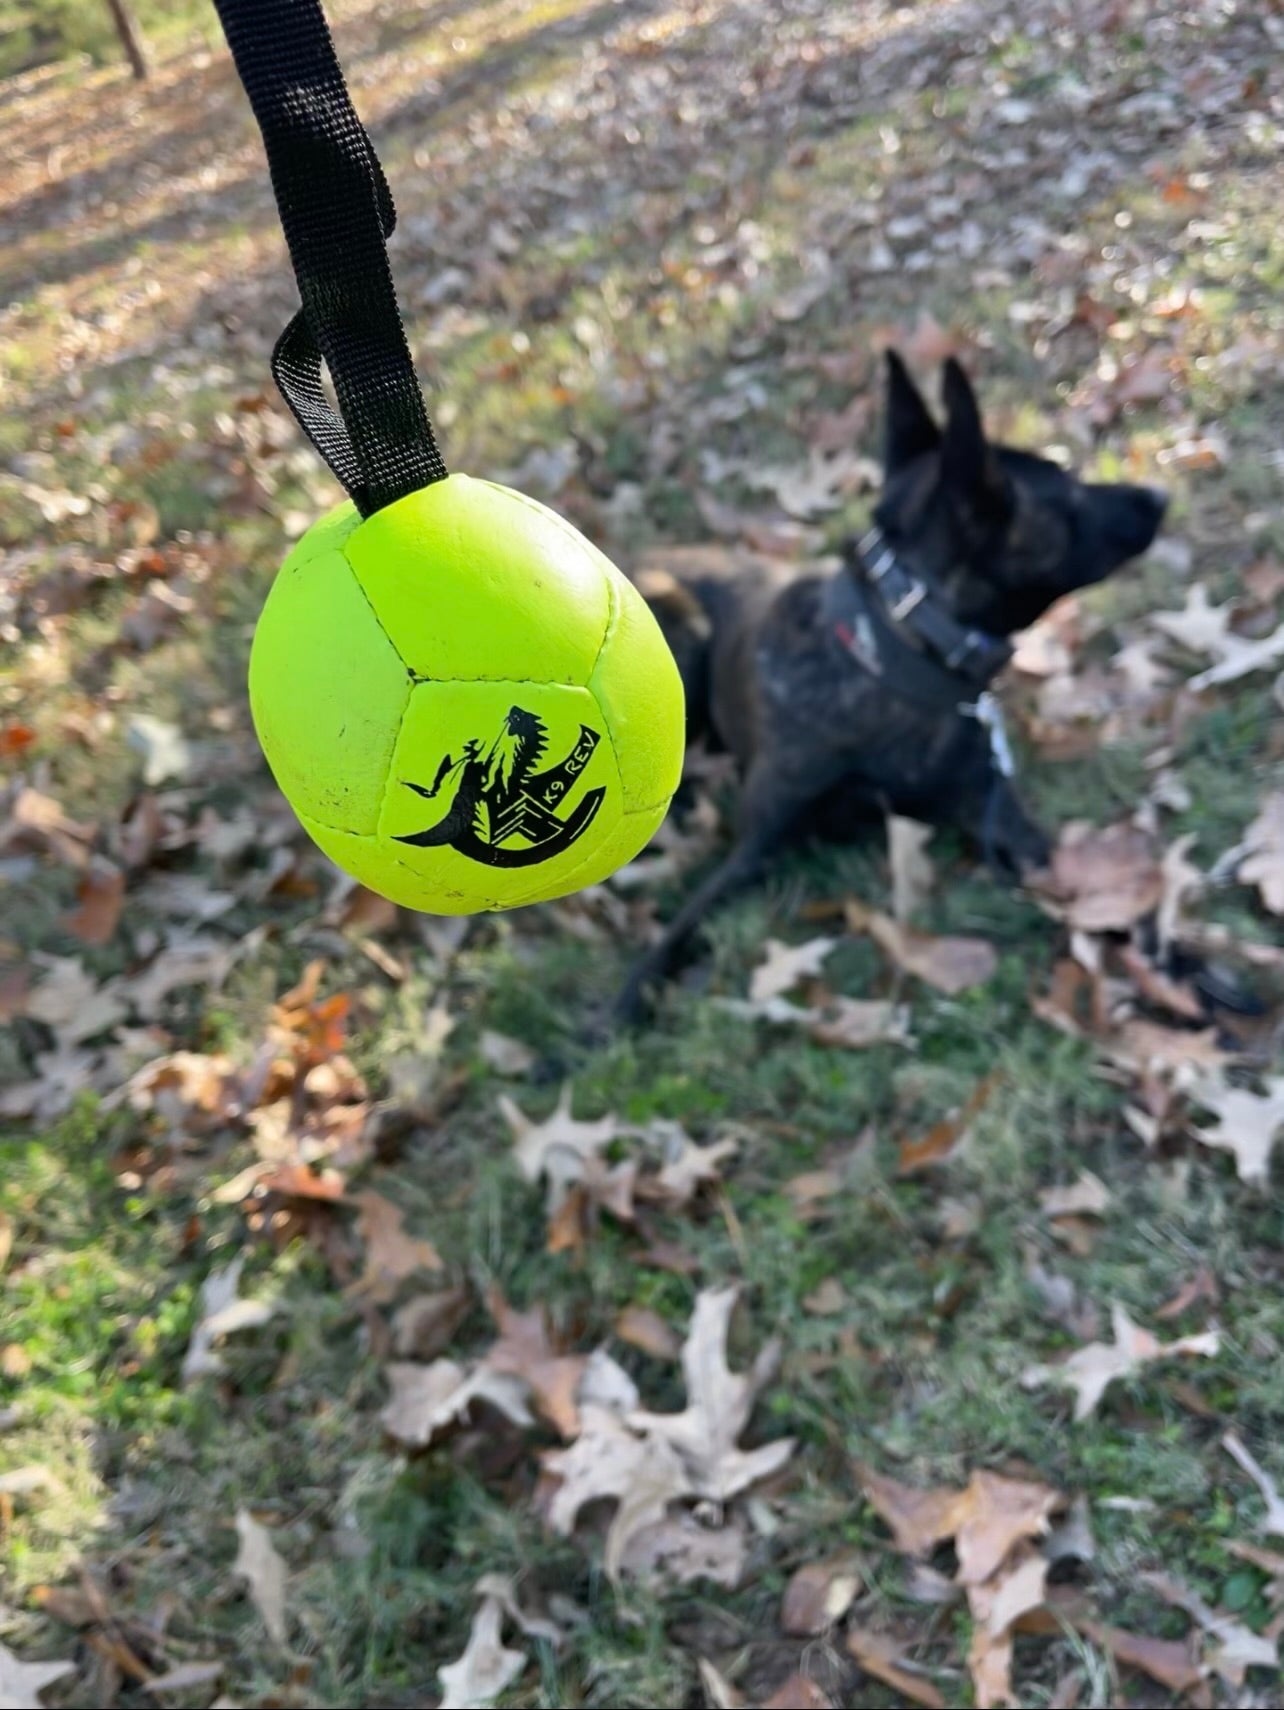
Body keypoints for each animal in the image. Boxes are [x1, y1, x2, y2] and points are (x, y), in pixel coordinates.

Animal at [618, 347, 1169, 1012]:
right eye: (1071, 495)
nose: (1160, 494)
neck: (894, 662)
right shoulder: (755, 847)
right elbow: (679, 932)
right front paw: (614, 1010)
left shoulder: (1005, 823)